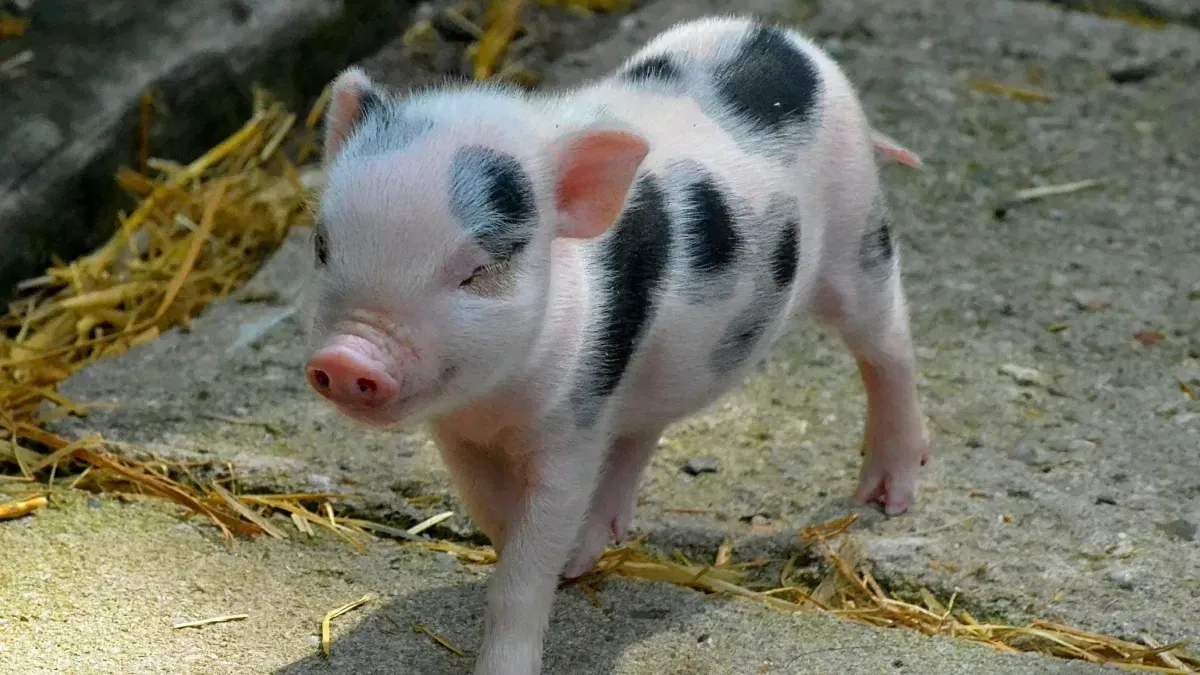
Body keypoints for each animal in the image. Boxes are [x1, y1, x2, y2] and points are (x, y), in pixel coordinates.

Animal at [302, 14, 930, 675]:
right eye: (322, 245)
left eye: (477, 270)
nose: (345, 356)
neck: (496, 402)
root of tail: (779, 37)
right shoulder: (460, 434)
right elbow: (495, 515)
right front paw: (567, 559)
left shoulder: (573, 424)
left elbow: (528, 557)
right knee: (642, 429)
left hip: (857, 231)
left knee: (888, 343)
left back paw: (887, 498)